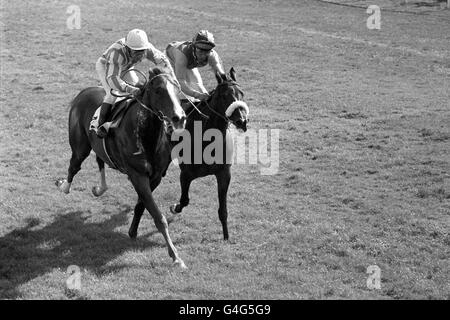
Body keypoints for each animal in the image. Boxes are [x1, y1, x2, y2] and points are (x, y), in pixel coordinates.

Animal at [56, 66, 188, 268]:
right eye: (158, 90)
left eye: (177, 88)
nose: (179, 117)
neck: (146, 136)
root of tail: (83, 92)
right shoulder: (137, 175)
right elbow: (158, 216)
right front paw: (175, 256)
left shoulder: (155, 177)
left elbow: (141, 205)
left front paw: (133, 231)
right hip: (80, 147)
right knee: (74, 166)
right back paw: (64, 186)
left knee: (99, 160)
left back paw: (100, 188)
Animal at [168, 67, 250, 241]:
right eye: (224, 95)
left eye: (242, 93)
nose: (242, 121)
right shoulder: (186, 174)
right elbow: (184, 200)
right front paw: (174, 207)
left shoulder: (224, 174)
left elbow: (223, 210)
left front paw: (226, 236)